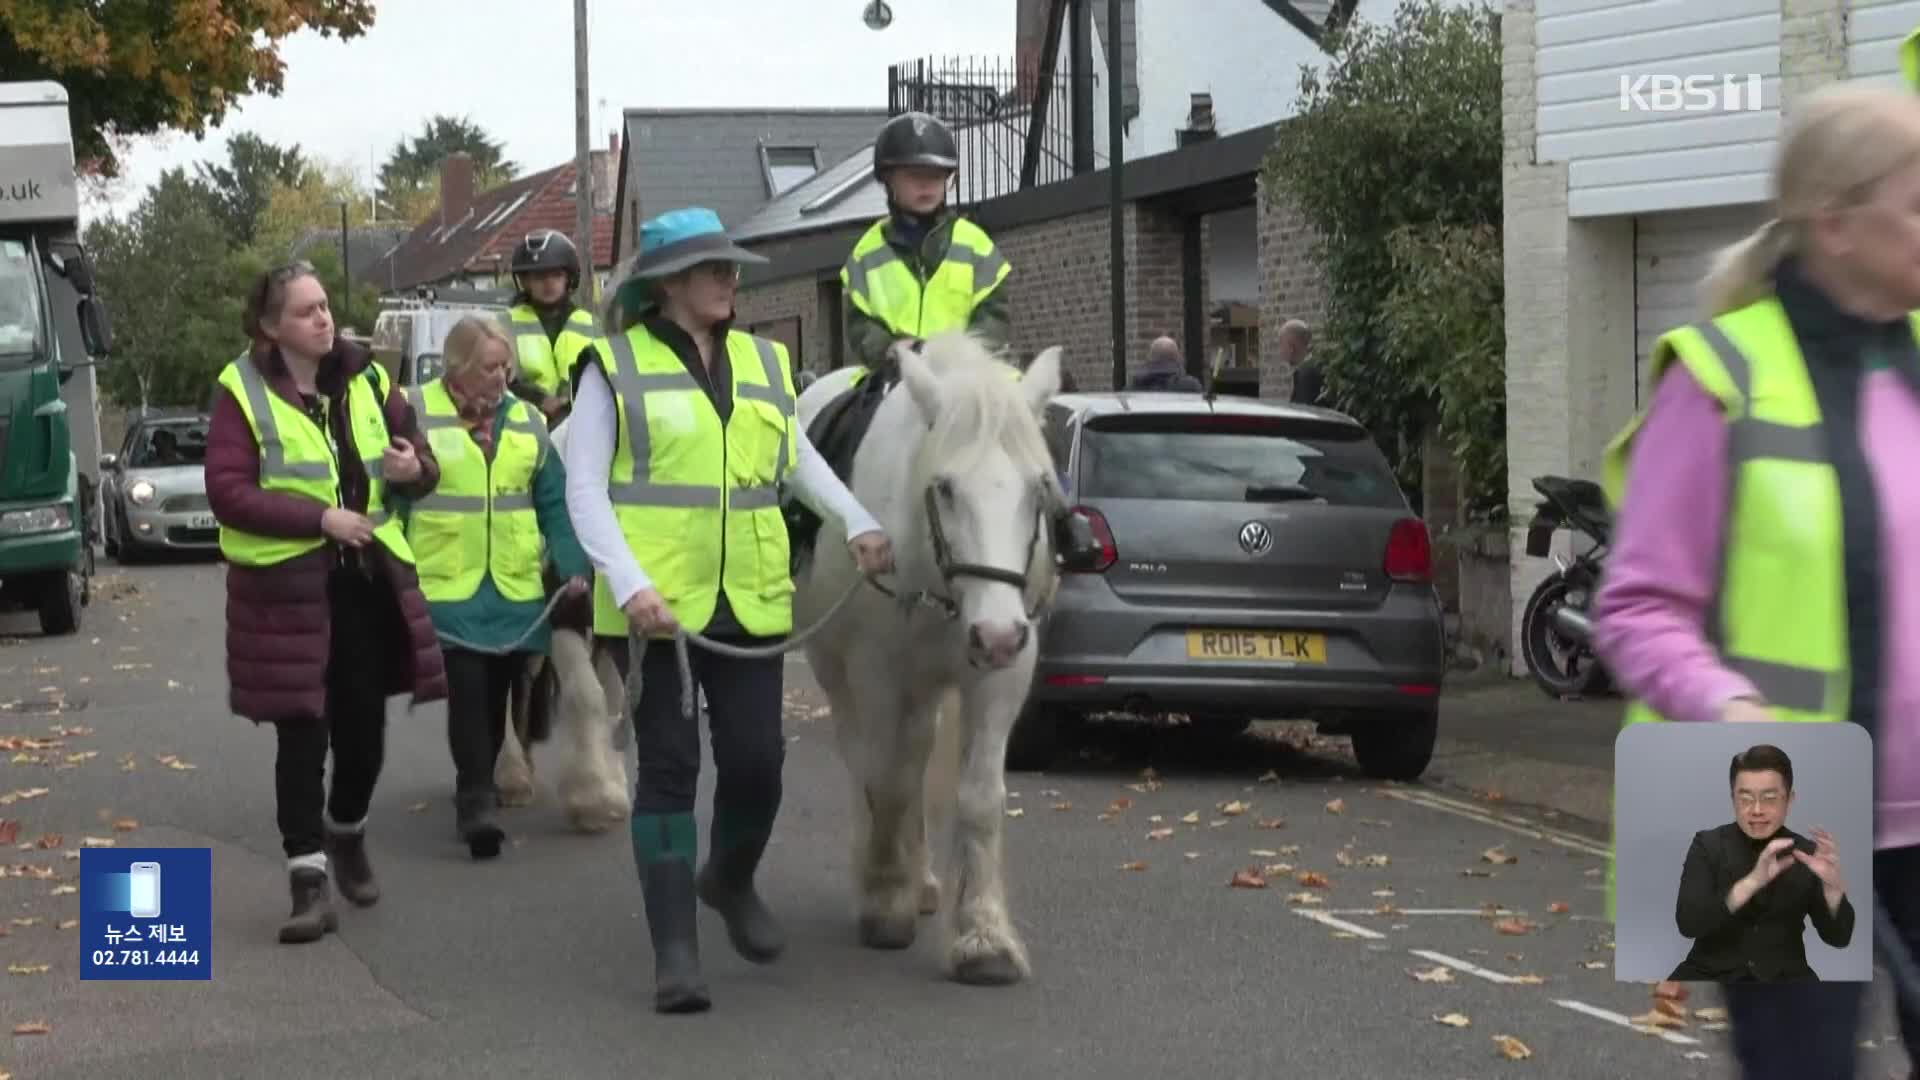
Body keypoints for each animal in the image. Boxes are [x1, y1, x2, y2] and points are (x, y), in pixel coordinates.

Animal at [487, 407, 629, 826]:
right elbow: (586, 695)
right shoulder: (561, 616)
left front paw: (613, 789)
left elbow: (613, 702)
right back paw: (512, 777)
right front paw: (592, 798)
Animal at [794, 332, 1067, 980]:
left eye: (1038, 487)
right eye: (945, 488)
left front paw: (984, 938)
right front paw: (884, 902)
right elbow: (884, 782)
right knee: (866, 762)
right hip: (837, 671)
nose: (997, 635)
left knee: (913, 757)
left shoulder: (999, 680)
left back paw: (919, 880)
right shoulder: (875, 674)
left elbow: (978, 798)